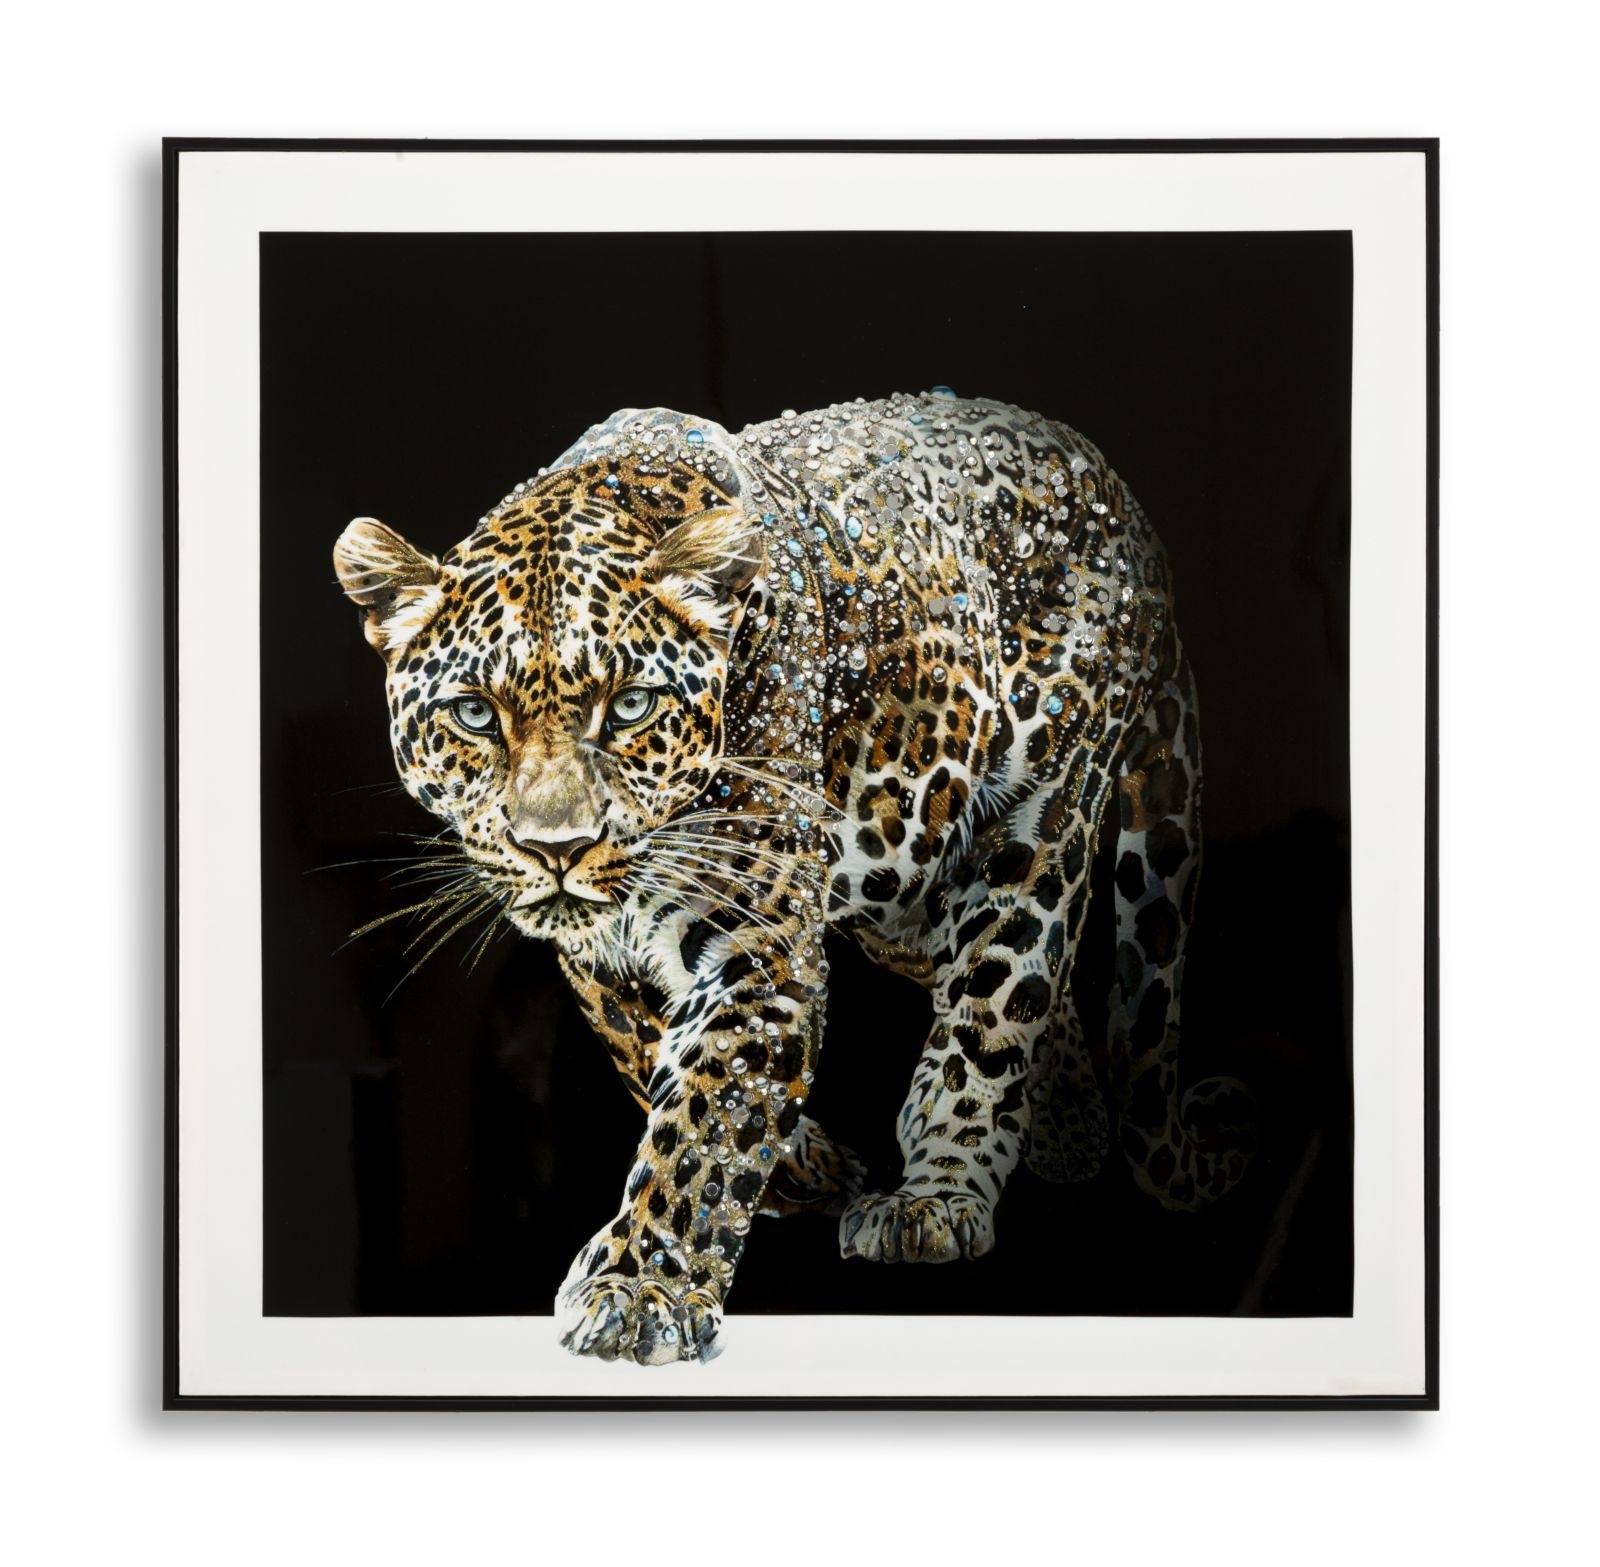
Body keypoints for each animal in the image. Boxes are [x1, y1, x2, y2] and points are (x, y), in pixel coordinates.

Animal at [333, 390, 1253, 1366]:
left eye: (631, 706)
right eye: (475, 714)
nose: (558, 846)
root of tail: (1122, 497)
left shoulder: (762, 938)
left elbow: (706, 1109)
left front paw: (640, 1287)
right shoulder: (601, 957)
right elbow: (647, 1050)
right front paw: (799, 1167)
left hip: (1038, 817)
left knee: (998, 997)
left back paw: (938, 1193)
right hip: (902, 875)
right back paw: (1069, 1129)